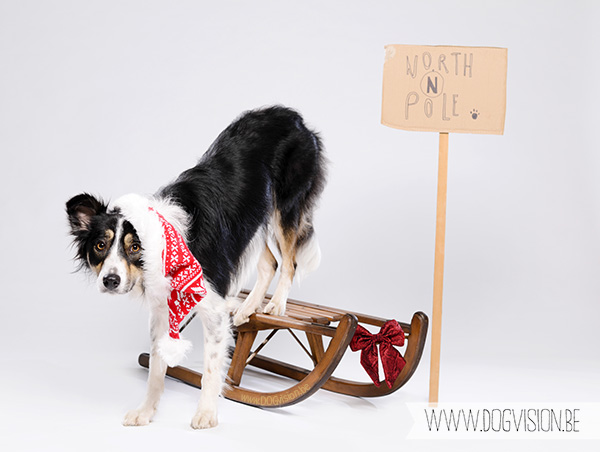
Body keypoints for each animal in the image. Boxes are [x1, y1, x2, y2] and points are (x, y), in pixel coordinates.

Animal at [66, 106, 326, 428]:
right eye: (100, 245)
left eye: (135, 247)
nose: (110, 281)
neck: (169, 245)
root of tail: (292, 115)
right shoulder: (162, 308)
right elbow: (156, 367)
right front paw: (146, 411)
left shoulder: (212, 308)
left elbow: (211, 369)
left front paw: (206, 413)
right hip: (257, 216)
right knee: (270, 262)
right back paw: (247, 308)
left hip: (284, 207)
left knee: (288, 261)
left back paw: (276, 305)